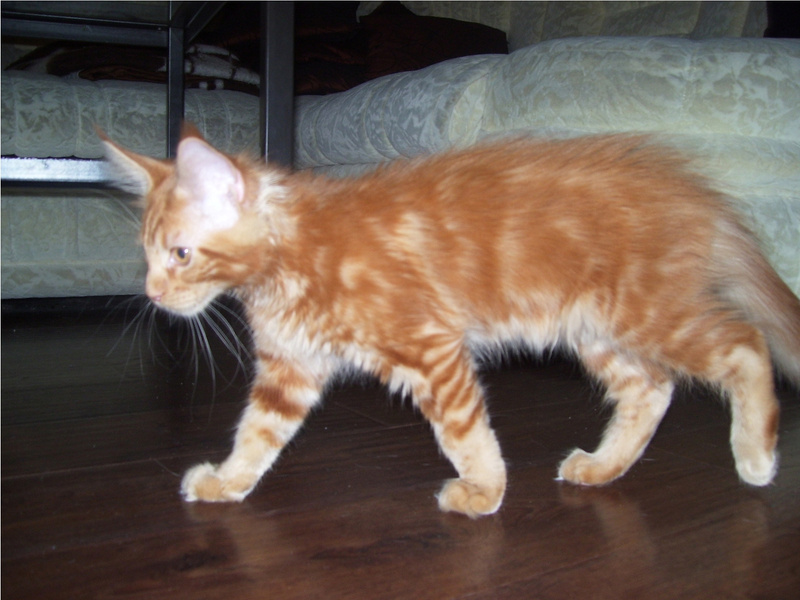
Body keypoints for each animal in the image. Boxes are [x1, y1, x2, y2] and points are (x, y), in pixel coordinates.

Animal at [102, 128, 800, 518]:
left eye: (180, 254)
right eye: (146, 254)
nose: (152, 293)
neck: (290, 258)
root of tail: (697, 198)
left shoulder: (430, 347)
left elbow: (464, 432)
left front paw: (484, 491)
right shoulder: (290, 369)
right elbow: (256, 436)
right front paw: (227, 483)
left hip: (647, 312)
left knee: (745, 345)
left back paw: (756, 453)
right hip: (597, 331)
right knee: (652, 389)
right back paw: (603, 467)